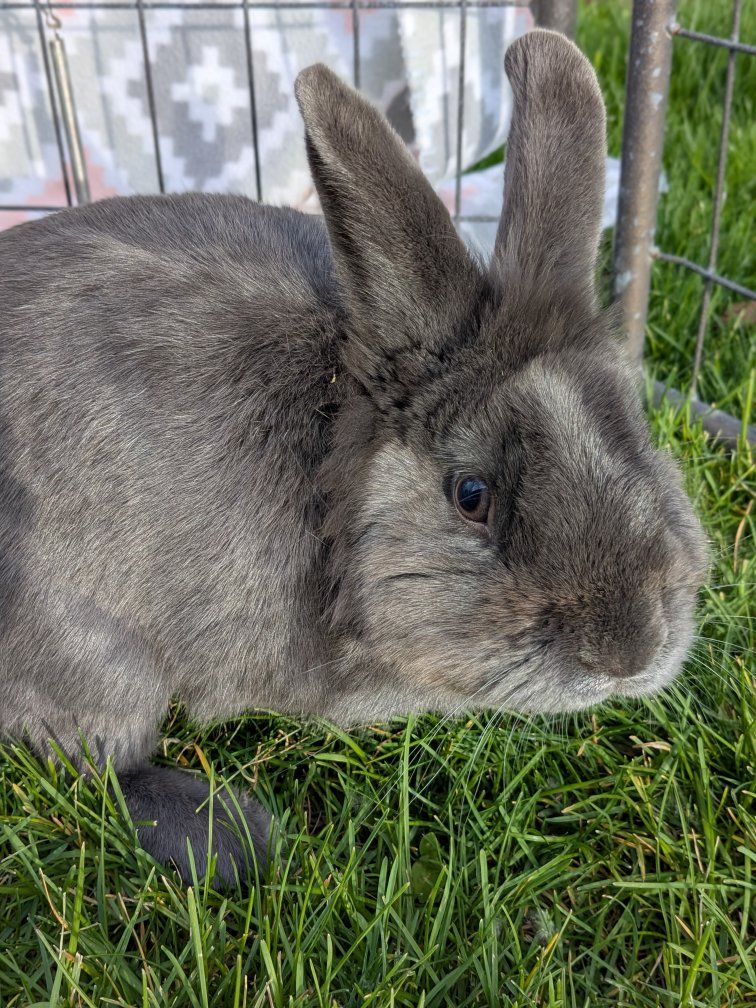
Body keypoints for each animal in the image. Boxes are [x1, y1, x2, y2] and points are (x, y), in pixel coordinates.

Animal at [0, 30, 707, 886]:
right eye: (471, 494)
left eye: (638, 437)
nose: (629, 651)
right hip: (92, 651)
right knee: (98, 764)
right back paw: (232, 839)